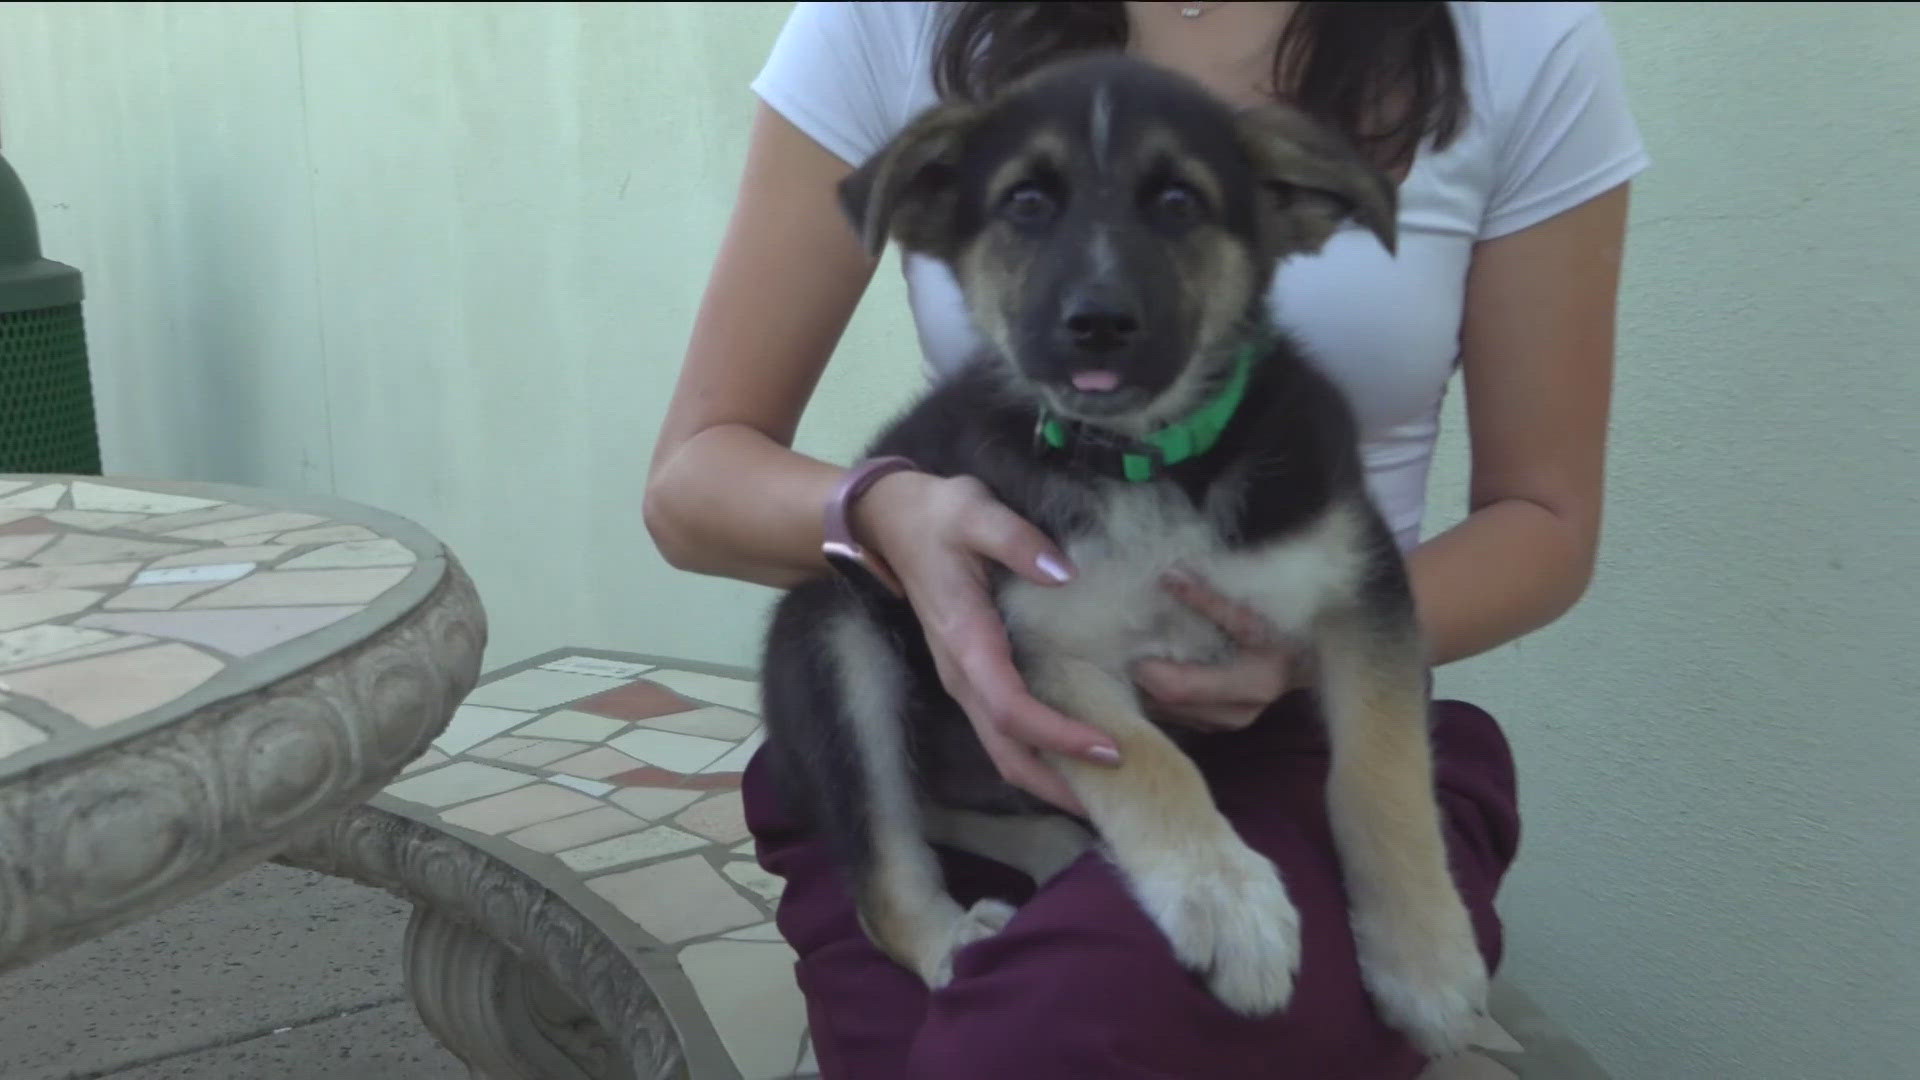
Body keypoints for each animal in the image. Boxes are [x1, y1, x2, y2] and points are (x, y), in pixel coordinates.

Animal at [760, 52, 1482, 1053]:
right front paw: (1227, 902)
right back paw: (955, 938)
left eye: (1178, 201)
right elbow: (1146, 761)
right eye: (1026, 202)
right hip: (834, 632)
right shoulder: (1041, 649)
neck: (1147, 462)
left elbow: (1381, 771)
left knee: (939, 798)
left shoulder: (1358, 589)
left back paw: (1062, 848)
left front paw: (1425, 957)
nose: (1098, 321)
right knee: (886, 853)